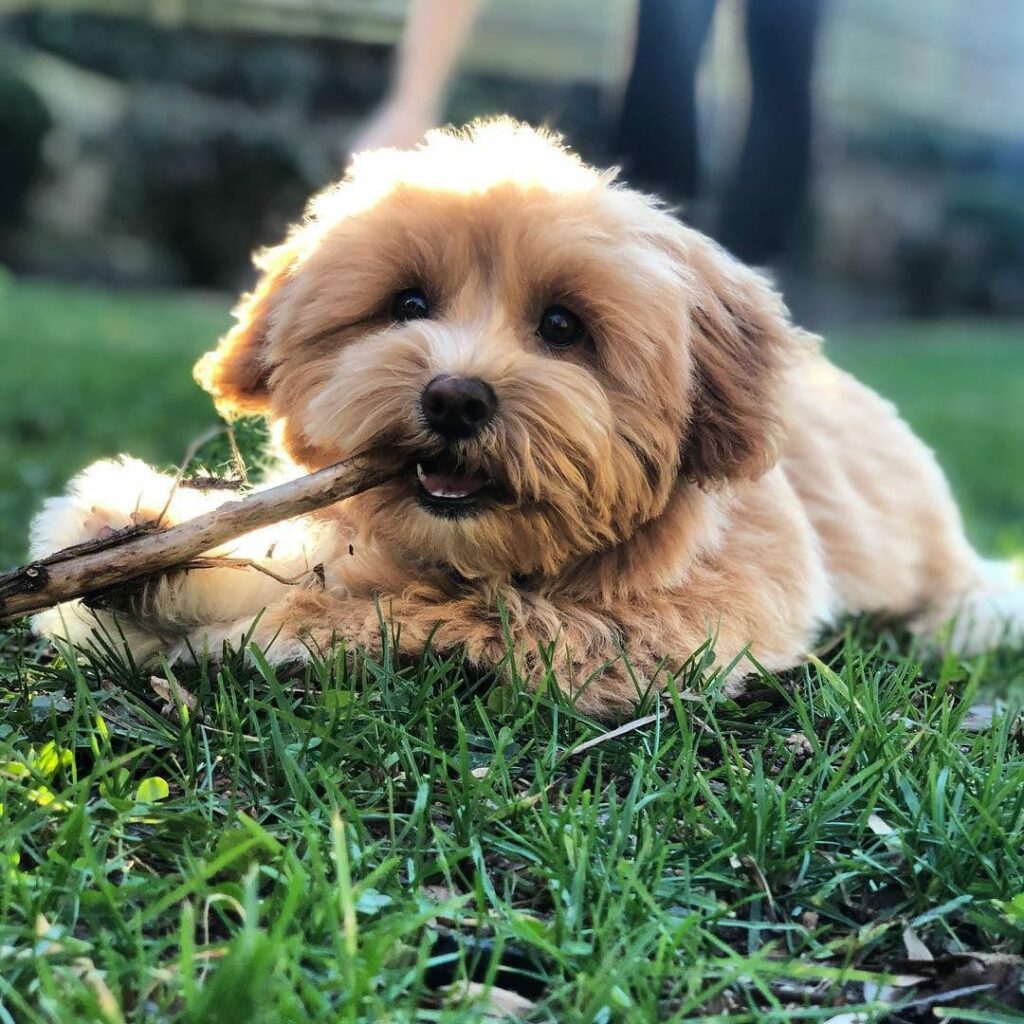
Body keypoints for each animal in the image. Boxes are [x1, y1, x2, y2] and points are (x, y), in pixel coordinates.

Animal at [28, 119, 1019, 716]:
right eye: (407, 304)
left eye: (563, 326)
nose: (453, 396)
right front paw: (140, 537)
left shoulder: (675, 628)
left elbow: (444, 607)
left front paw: (255, 622)